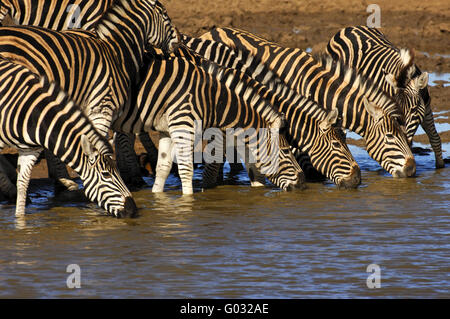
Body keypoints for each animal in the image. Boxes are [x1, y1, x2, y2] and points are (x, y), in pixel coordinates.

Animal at [0, 58, 137, 218]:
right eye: (106, 175)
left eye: (119, 173)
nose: (133, 209)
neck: (35, 116)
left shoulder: (30, 151)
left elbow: (23, 185)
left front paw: (20, 219)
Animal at [326, 25, 444, 170]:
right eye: (398, 113)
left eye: (414, 109)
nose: (406, 141)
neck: (403, 75)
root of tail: (348, 28)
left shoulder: (426, 108)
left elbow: (435, 138)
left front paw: (440, 167)